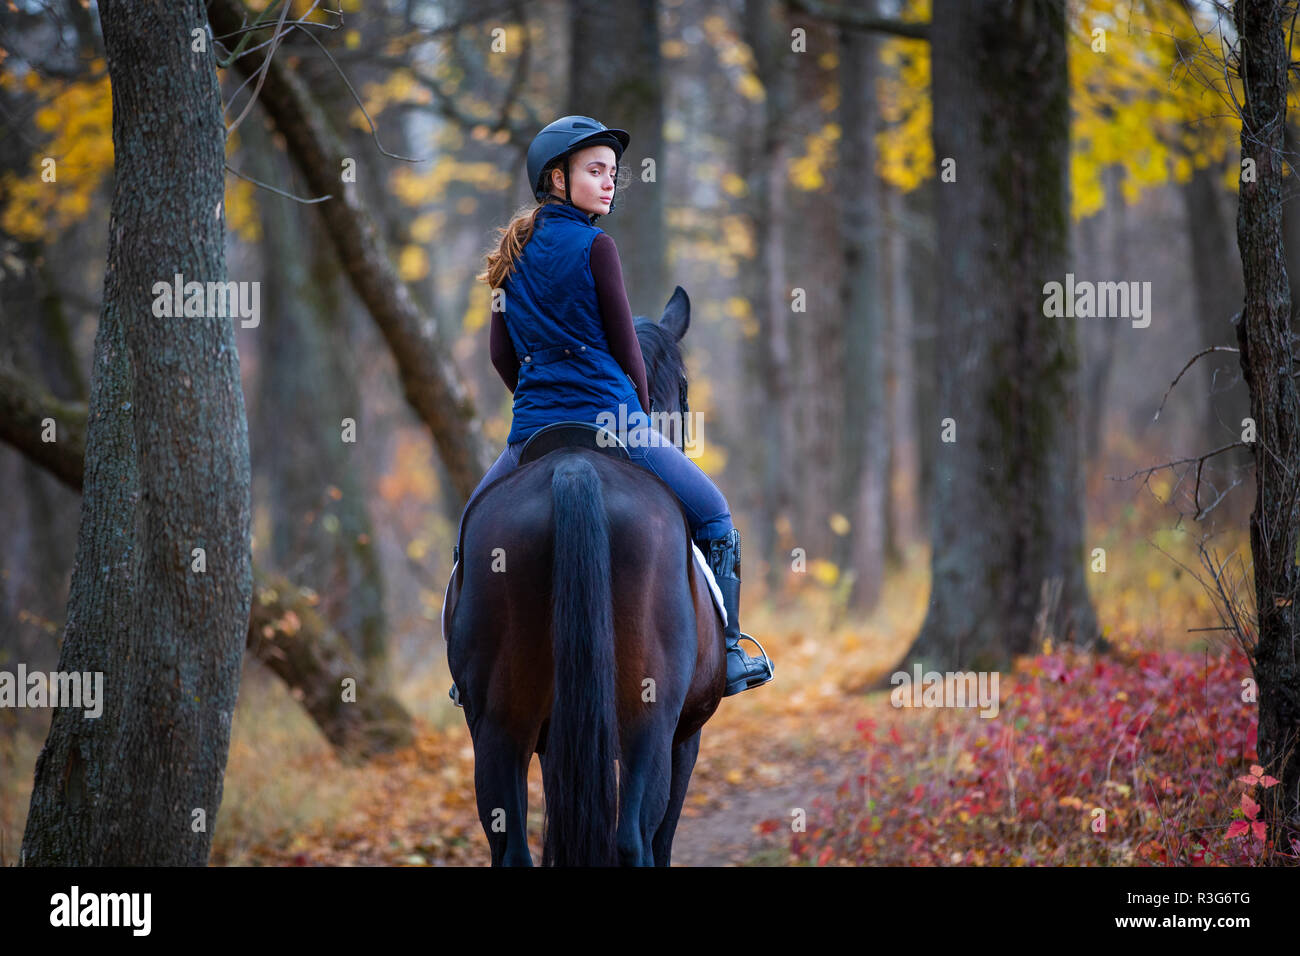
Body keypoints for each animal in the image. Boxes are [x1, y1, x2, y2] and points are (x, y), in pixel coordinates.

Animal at [442, 286, 727, 866]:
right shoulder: (685, 735)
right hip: (648, 724)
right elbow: (662, 839)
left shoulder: (557, 739)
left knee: (512, 848)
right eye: (685, 386)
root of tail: (573, 470)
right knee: (633, 839)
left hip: (499, 727)